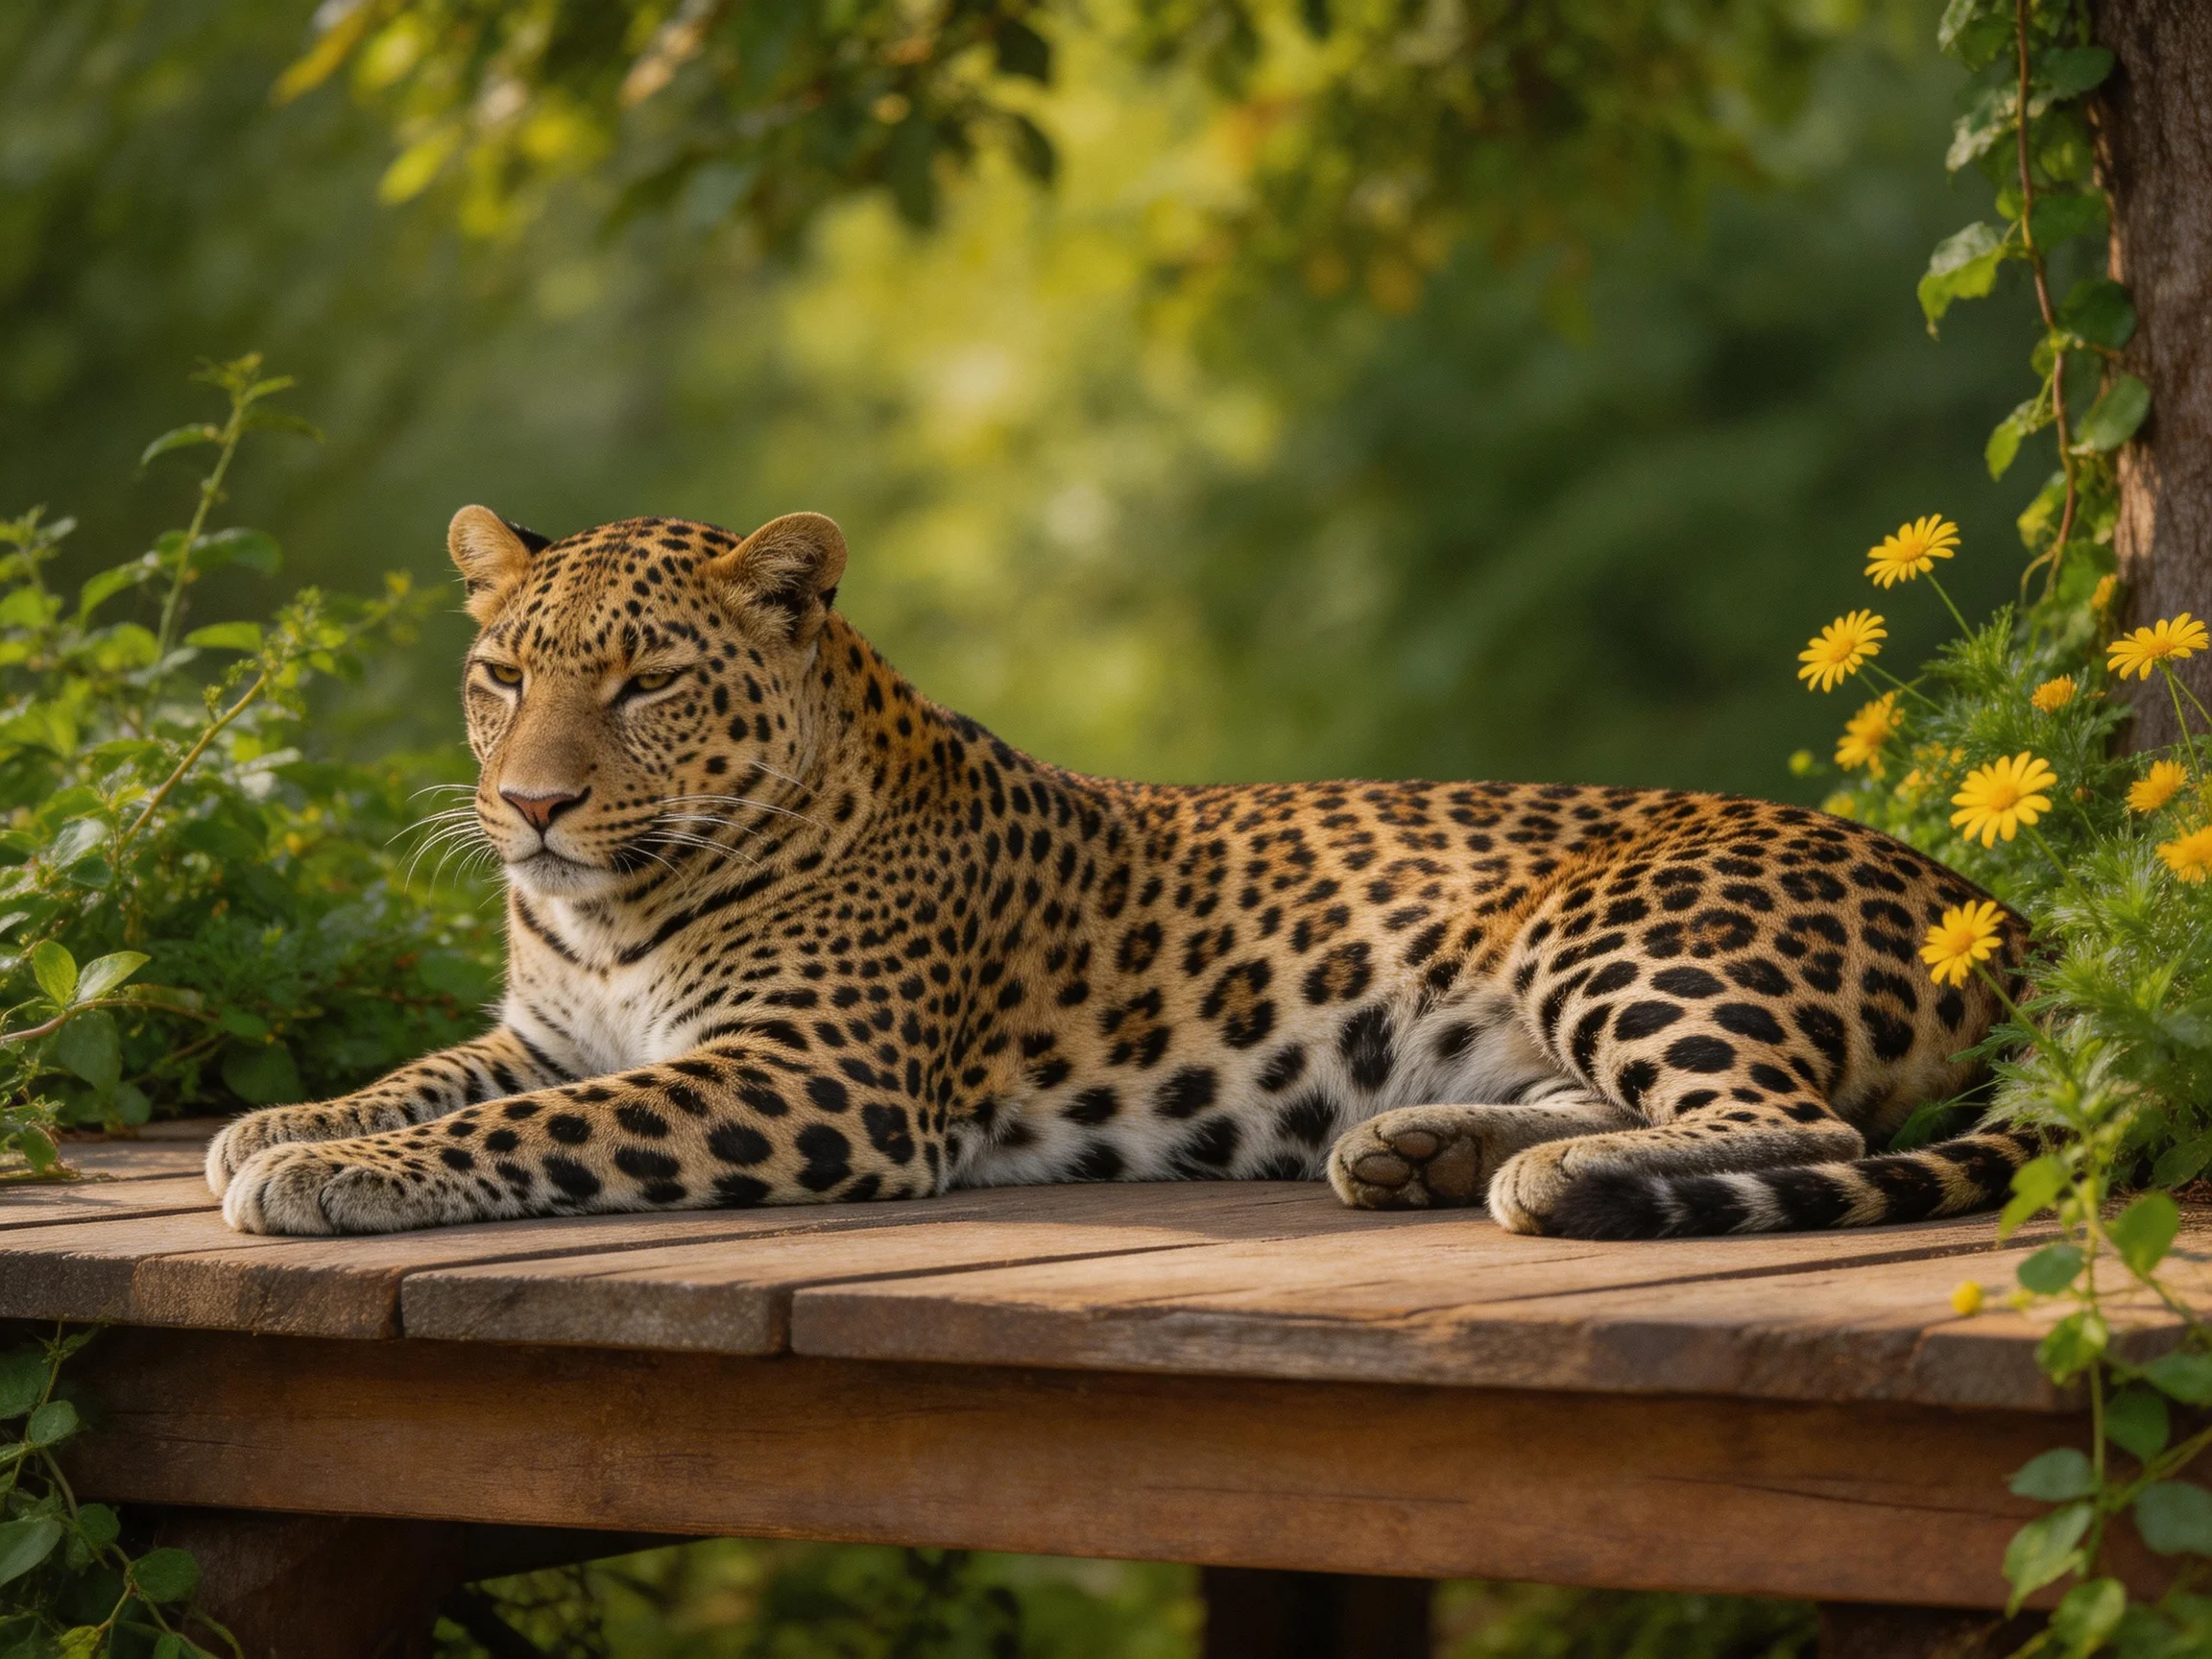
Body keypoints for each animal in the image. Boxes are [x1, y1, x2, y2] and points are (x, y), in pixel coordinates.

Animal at [205, 506, 2036, 1238]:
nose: (528, 804)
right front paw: (279, 1124)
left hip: (1619, 924)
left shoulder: (813, 1079)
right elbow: (437, 1075)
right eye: (501, 672)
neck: (612, 907)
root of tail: (1999, 910)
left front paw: (325, 1175)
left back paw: (1542, 1180)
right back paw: (1421, 1144)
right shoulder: (548, 1028)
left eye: (648, 681)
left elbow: (531, 1128)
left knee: (1796, 1121)